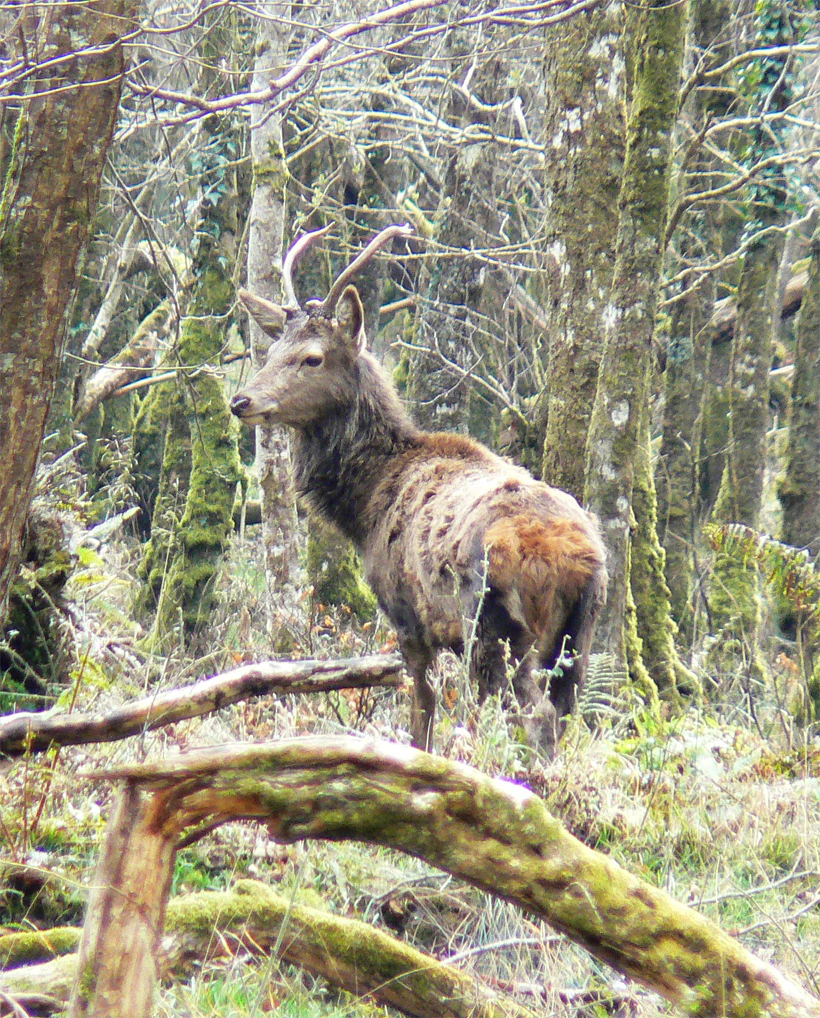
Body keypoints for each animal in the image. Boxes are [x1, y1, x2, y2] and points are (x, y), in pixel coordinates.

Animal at [230, 225, 607, 757]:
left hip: (493, 625)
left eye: (312, 357)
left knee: (532, 714)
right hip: (581, 631)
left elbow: (422, 712)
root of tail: (567, 555)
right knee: (565, 714)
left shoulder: (406, 617)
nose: (241, 400)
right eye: (271, 352)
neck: (366, 506)